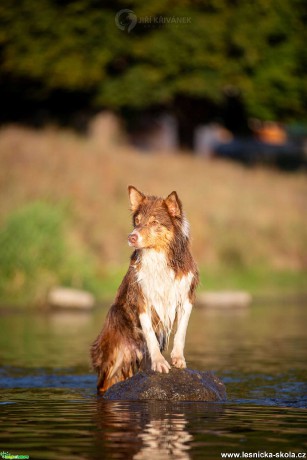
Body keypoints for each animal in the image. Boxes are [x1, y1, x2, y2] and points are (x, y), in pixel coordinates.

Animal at [91, 186, 200, 392]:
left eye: (154, 222)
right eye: (137, 221)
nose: (131, 237)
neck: (158, 256)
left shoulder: (185, 296)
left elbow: (181, 330)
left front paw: (178, 357)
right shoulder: (142, 298)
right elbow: (150, 334)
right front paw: (159, 361)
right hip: (114, 355)